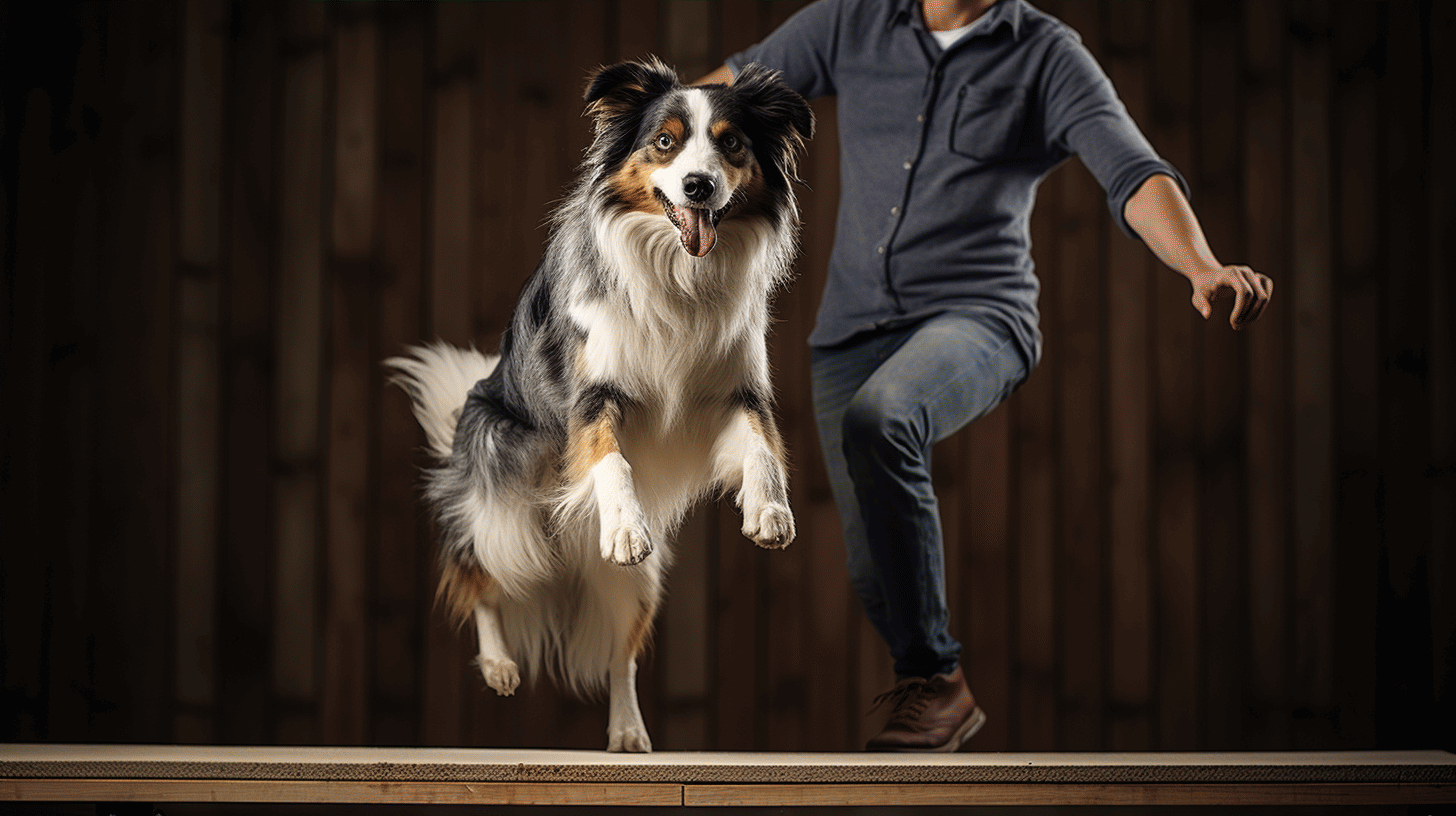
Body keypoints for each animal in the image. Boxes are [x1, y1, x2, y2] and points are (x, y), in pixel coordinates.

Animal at [387, 57, 815, 751]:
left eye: (732, 144)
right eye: (665, 141)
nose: (699, 186)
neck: (678, 272)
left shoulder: (734, 389)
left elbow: (760, 444)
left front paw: (770, 511)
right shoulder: (593, 395)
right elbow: (612, 461)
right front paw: (625, 527)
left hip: (637, 588)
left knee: (622, 654)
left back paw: (628, 732)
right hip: (499, 491)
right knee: (482, 573)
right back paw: (499, 663)